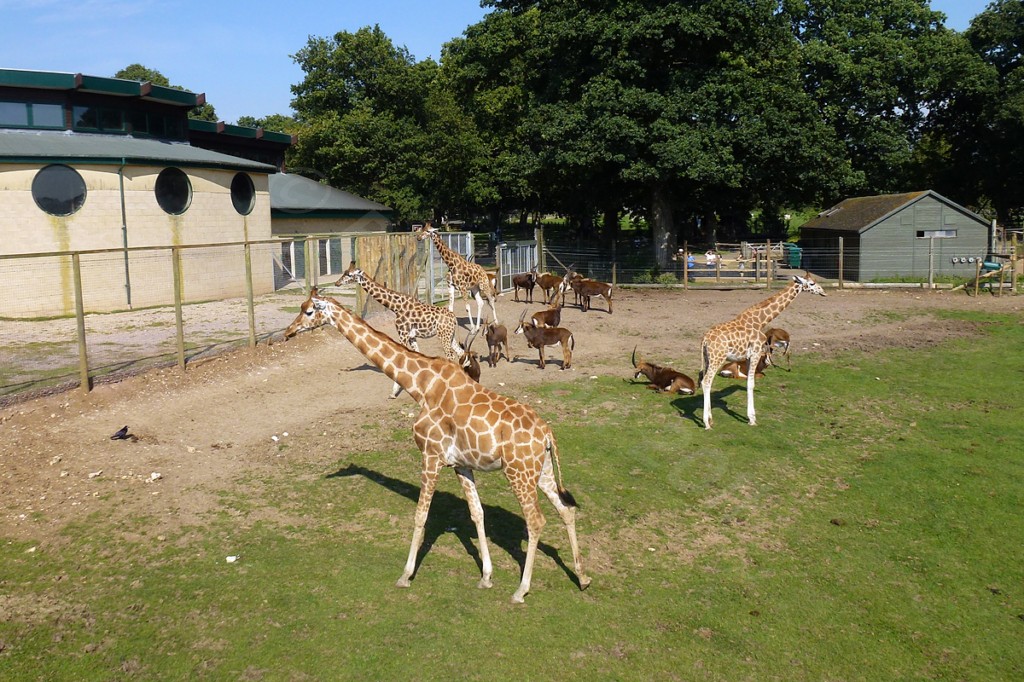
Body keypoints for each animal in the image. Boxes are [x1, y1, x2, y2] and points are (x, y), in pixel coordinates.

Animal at [283, 287, 591, 603]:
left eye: (309, 311)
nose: (288, 332)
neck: (420, 385)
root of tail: (547, 434)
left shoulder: (430, 455)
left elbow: (421, 516)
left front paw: (405, 575)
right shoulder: (460, 465)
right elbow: (477, 514)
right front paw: (486, 576)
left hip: (518, 472)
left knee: (536, 520)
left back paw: (521, 590)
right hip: (541, 471)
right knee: (566, 510)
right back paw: (582, 577)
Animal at [335, 262, 462, 399]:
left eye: (349, 274)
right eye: (344, 272)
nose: (337, 283)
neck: (395, 306)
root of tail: (453, 317)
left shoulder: (403, 334)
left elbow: (400, 360)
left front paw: (393, 393)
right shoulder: (411, 336)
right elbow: (417, 355)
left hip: (443, 336)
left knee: (450, 355)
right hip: (451, 336)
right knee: (460, 353)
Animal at [698, 275, 825, 430]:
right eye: (812, 283)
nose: (823, 292)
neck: (760, 321)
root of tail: (704, 340)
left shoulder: (747, 357)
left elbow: (749, 381)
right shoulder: (756, 353)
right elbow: (751, 384)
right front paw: (752, 419)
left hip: (708, 359)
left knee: (706, 382)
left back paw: (710, 419)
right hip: (717, 359)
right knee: (706, 381)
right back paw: (706, 423)